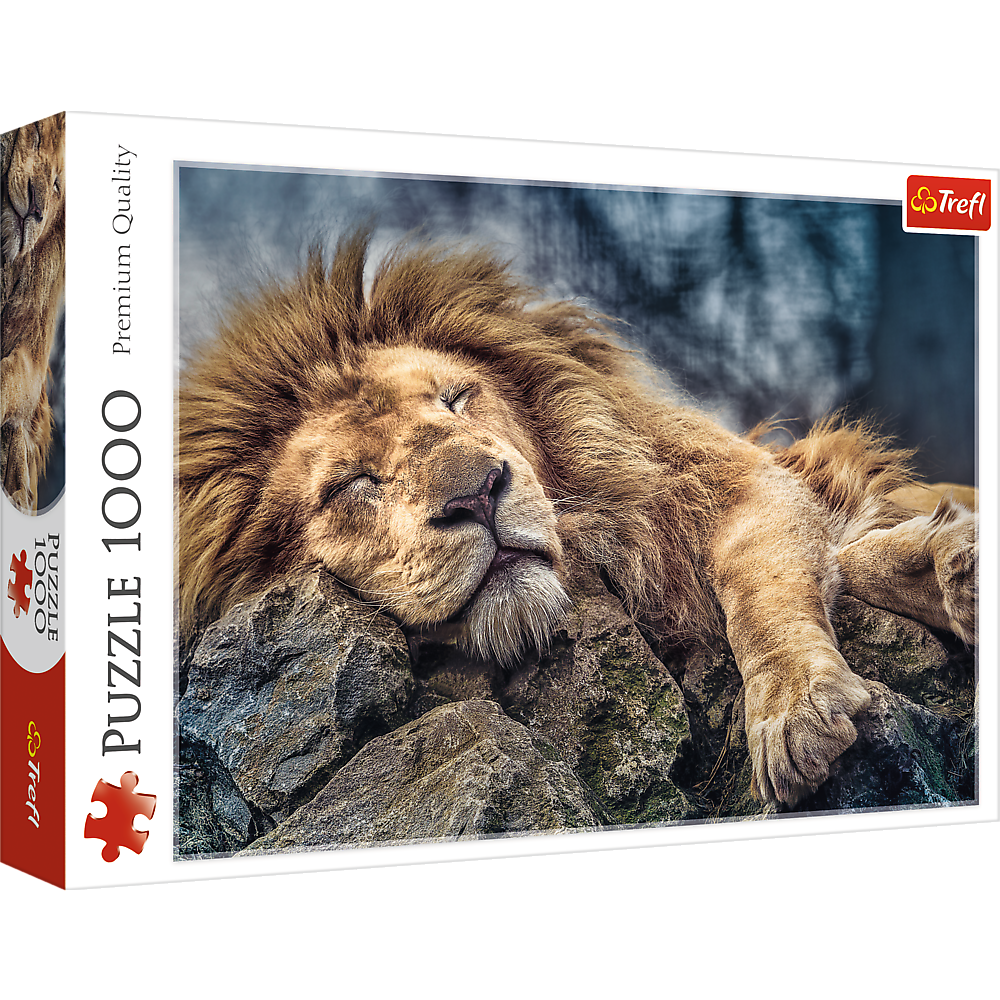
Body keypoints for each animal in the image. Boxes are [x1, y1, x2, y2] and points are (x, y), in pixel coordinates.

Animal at [177, 227, 978, 808]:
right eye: (353, 484)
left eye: (456, 399)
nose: (478, 493)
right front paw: (945, 569)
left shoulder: (735, 483)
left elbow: (764, 590)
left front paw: (798, 709)